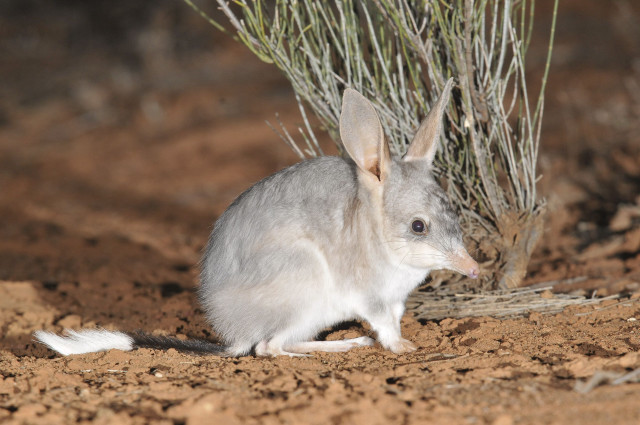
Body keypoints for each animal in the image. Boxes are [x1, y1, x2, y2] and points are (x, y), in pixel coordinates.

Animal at [35, 78, 479, 357]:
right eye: (418, 226)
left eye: (453, 211)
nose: (474, 269)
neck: (378, 234)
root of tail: (234, 335)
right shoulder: (370, 295)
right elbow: (386, 326)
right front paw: (405, 347)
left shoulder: (397, 298)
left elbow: (396, 318)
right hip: (303, 283)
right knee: (268, 348)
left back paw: (350, 343)